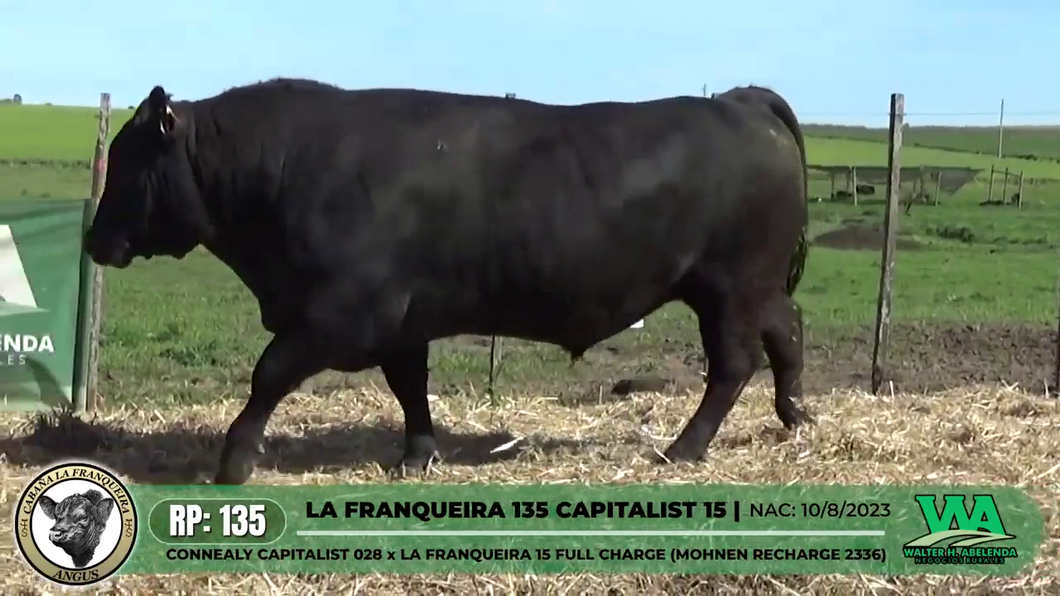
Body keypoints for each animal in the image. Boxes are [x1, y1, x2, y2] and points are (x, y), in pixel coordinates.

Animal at [82, 78, 811, 486]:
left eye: (128, 159)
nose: (92, 240)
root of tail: (741, 101)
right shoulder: (403, 318)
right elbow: (410, 387)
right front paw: (417, 455)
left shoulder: (345, 313)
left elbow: (270, 374)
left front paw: (235, 459)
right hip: (754, 289)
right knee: (788, 335)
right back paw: (794, 418)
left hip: (730, 288)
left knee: (734, 364)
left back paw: (684, 449)